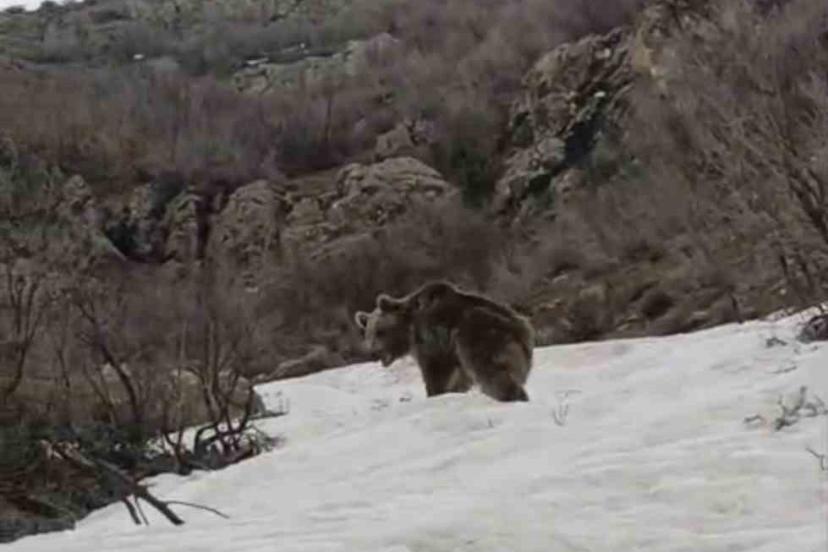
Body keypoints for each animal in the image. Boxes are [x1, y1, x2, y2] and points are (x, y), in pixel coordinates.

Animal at [354, 280, 534, 402]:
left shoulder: (433, 342)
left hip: (480, 337)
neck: (410, 330)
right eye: (368, 334)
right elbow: (457, 378)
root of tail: (520, 328)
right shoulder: (451, 353)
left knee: (490, 372)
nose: (373, 351)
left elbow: (436, 372)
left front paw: (435, 393)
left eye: (380, 332)